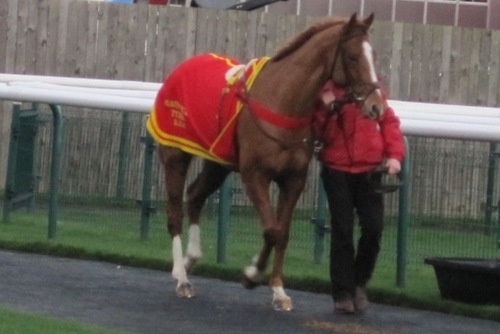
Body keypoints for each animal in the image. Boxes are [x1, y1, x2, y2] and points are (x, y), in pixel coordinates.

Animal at [146, 12, 384, 310]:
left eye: (373, 54)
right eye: (352, 57)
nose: (376, 106)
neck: (282, 101)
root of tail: (183, 66)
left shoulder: (293, 180)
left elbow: (282, 233)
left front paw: (279, 291)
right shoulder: (254, 174)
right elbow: (271, 230)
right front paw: (251, 274)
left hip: (218, 162)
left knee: (196, 195)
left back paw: (191, 258)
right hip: (175, 153)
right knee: (175, 211)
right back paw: (181, 277)